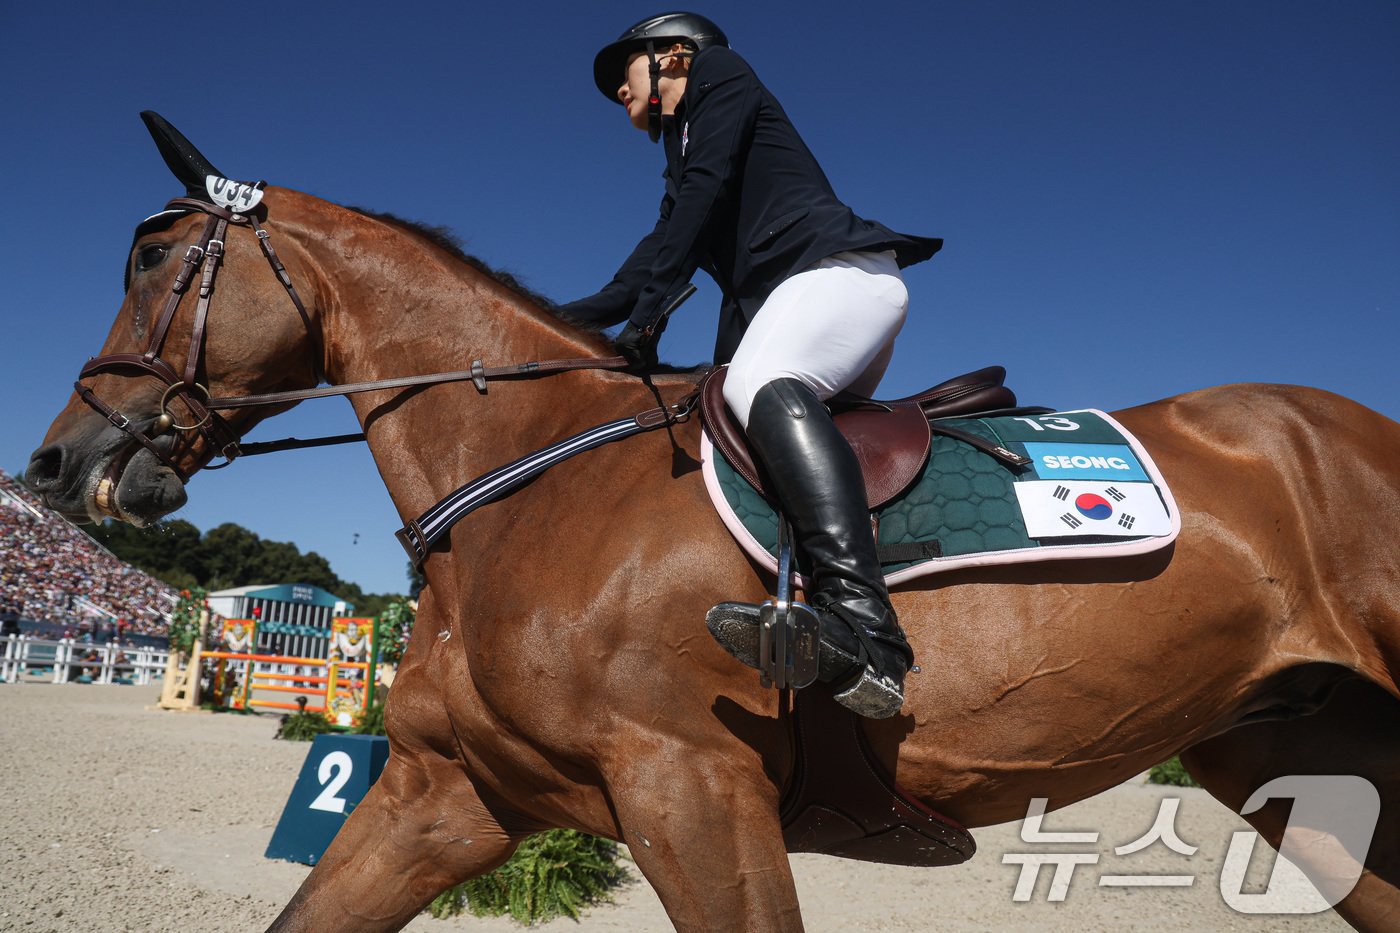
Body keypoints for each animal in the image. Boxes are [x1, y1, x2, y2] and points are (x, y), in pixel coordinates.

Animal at [21, 118, 1400, 930]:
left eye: (153, 260)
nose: (56, 464)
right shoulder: (445, 792)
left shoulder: (691, 787)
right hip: (1300, 755)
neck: (523, 480)